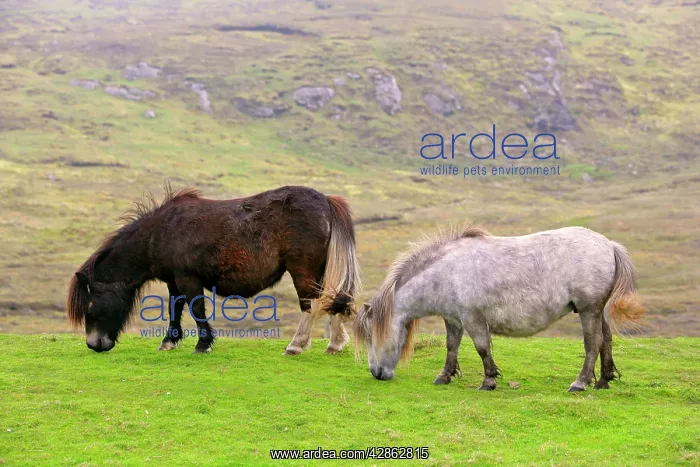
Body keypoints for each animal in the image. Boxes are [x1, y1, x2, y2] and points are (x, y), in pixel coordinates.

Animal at [67, 184, 361, 355]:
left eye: (91, 305)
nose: (94, 345)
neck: (161, 232)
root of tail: (326, 200)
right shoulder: (173, 281)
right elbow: (174, 308)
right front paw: (169, 341)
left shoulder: (188, 278)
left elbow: (196, 309)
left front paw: (203, 344)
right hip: (319, 268)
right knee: (331, 299)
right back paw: (334, 344)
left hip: (302, 268)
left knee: (311, 303)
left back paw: (296, 345)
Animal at [353, 226, 646, 392]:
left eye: (371, 336)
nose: (376, 374)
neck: (446, 272)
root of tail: (609, 244)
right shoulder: (453, 319)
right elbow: (451, 347)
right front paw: (444, 377)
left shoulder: (472, 318)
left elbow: (482, 348)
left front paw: (489, 381)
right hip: (597, 311)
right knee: (606, 340)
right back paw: (603, 382)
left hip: (588, 310)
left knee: (593, 343)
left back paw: (580, 383)